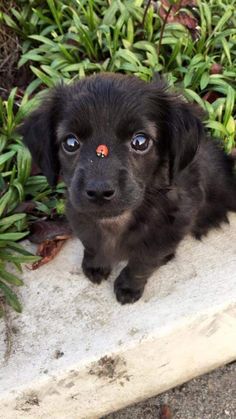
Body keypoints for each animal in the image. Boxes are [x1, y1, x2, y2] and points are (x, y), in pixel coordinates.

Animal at [20, 74, 236, 306]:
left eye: (140, 141)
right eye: (70, 143)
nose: (99, 191)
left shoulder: (167, 233)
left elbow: (142, 263)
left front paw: (128, 287)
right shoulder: (80, 216)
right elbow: (92, 244)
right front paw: (95, 265)